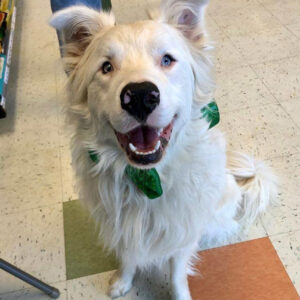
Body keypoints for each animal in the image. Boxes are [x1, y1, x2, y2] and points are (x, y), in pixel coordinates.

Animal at [50, 1, 278, 298]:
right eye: (106, 67)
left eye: (167, 60)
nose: (139, 96)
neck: (148, 178)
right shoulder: (122, 227)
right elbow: (128, 258)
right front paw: (123, 282)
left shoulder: (182, 232)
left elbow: (177, 274)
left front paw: (180, 294)